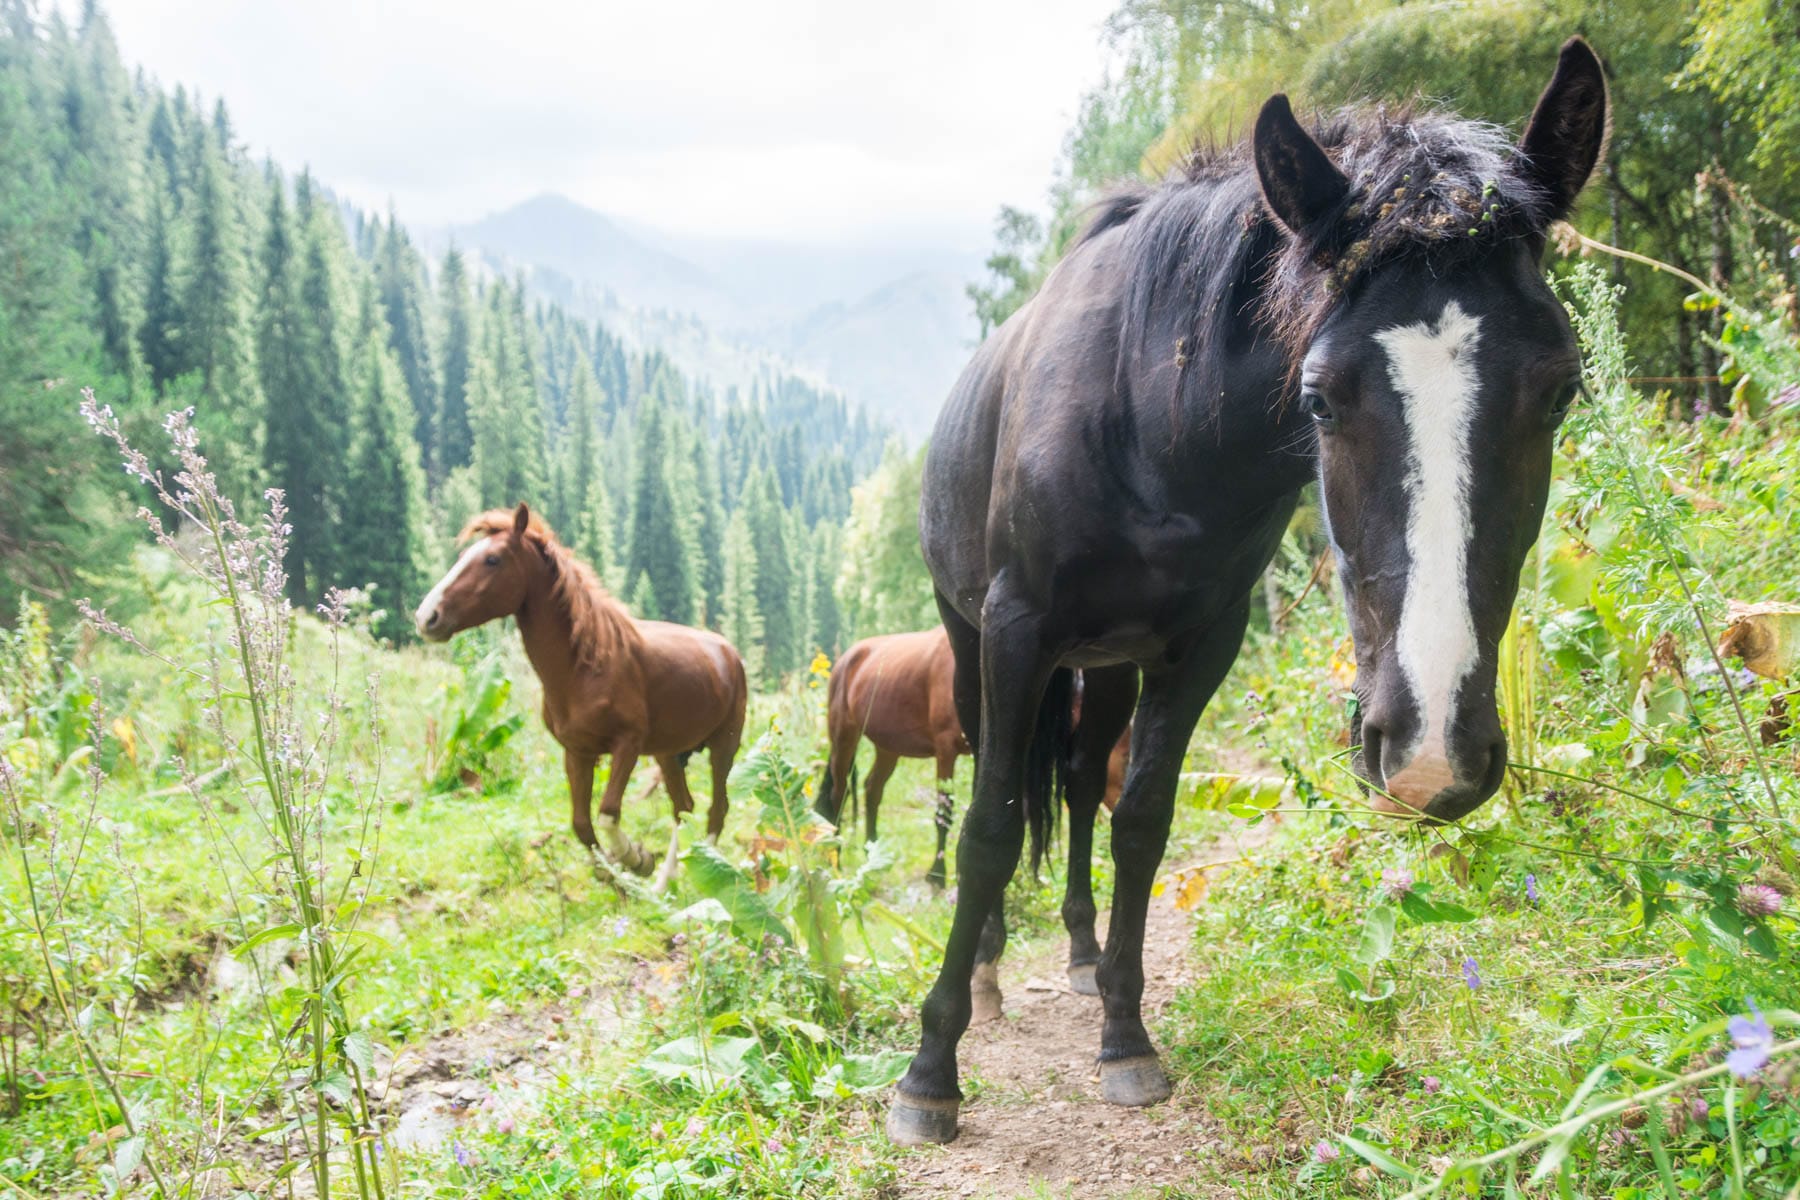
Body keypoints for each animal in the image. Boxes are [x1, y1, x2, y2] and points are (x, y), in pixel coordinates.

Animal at [414, 507, 745, 881]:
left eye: (492, 559)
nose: (427, 617)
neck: (584, 666)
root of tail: (729, 653)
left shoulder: (627, 744)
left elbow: (608, 812)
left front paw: (634, 857)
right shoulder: (577, 752)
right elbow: (582, 825)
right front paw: (620, 870)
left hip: (724, 746)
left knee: (716, 809)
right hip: (669, 753)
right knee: (683, 808)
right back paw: (664, 883)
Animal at [892, 39, 1612, 1144]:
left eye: (1562, 388)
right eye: (1319, 398)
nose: (1431, 751)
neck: (1150, 416)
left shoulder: (1200, 648)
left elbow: (1140, 823)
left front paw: (1126, 1037)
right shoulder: (1017, 633)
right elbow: (989, 828)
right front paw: (931, 1071)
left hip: (1108, 665)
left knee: (1081, 784)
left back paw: (1081, 954)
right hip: (973, 639)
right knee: (1000, 785)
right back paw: (988, 974)